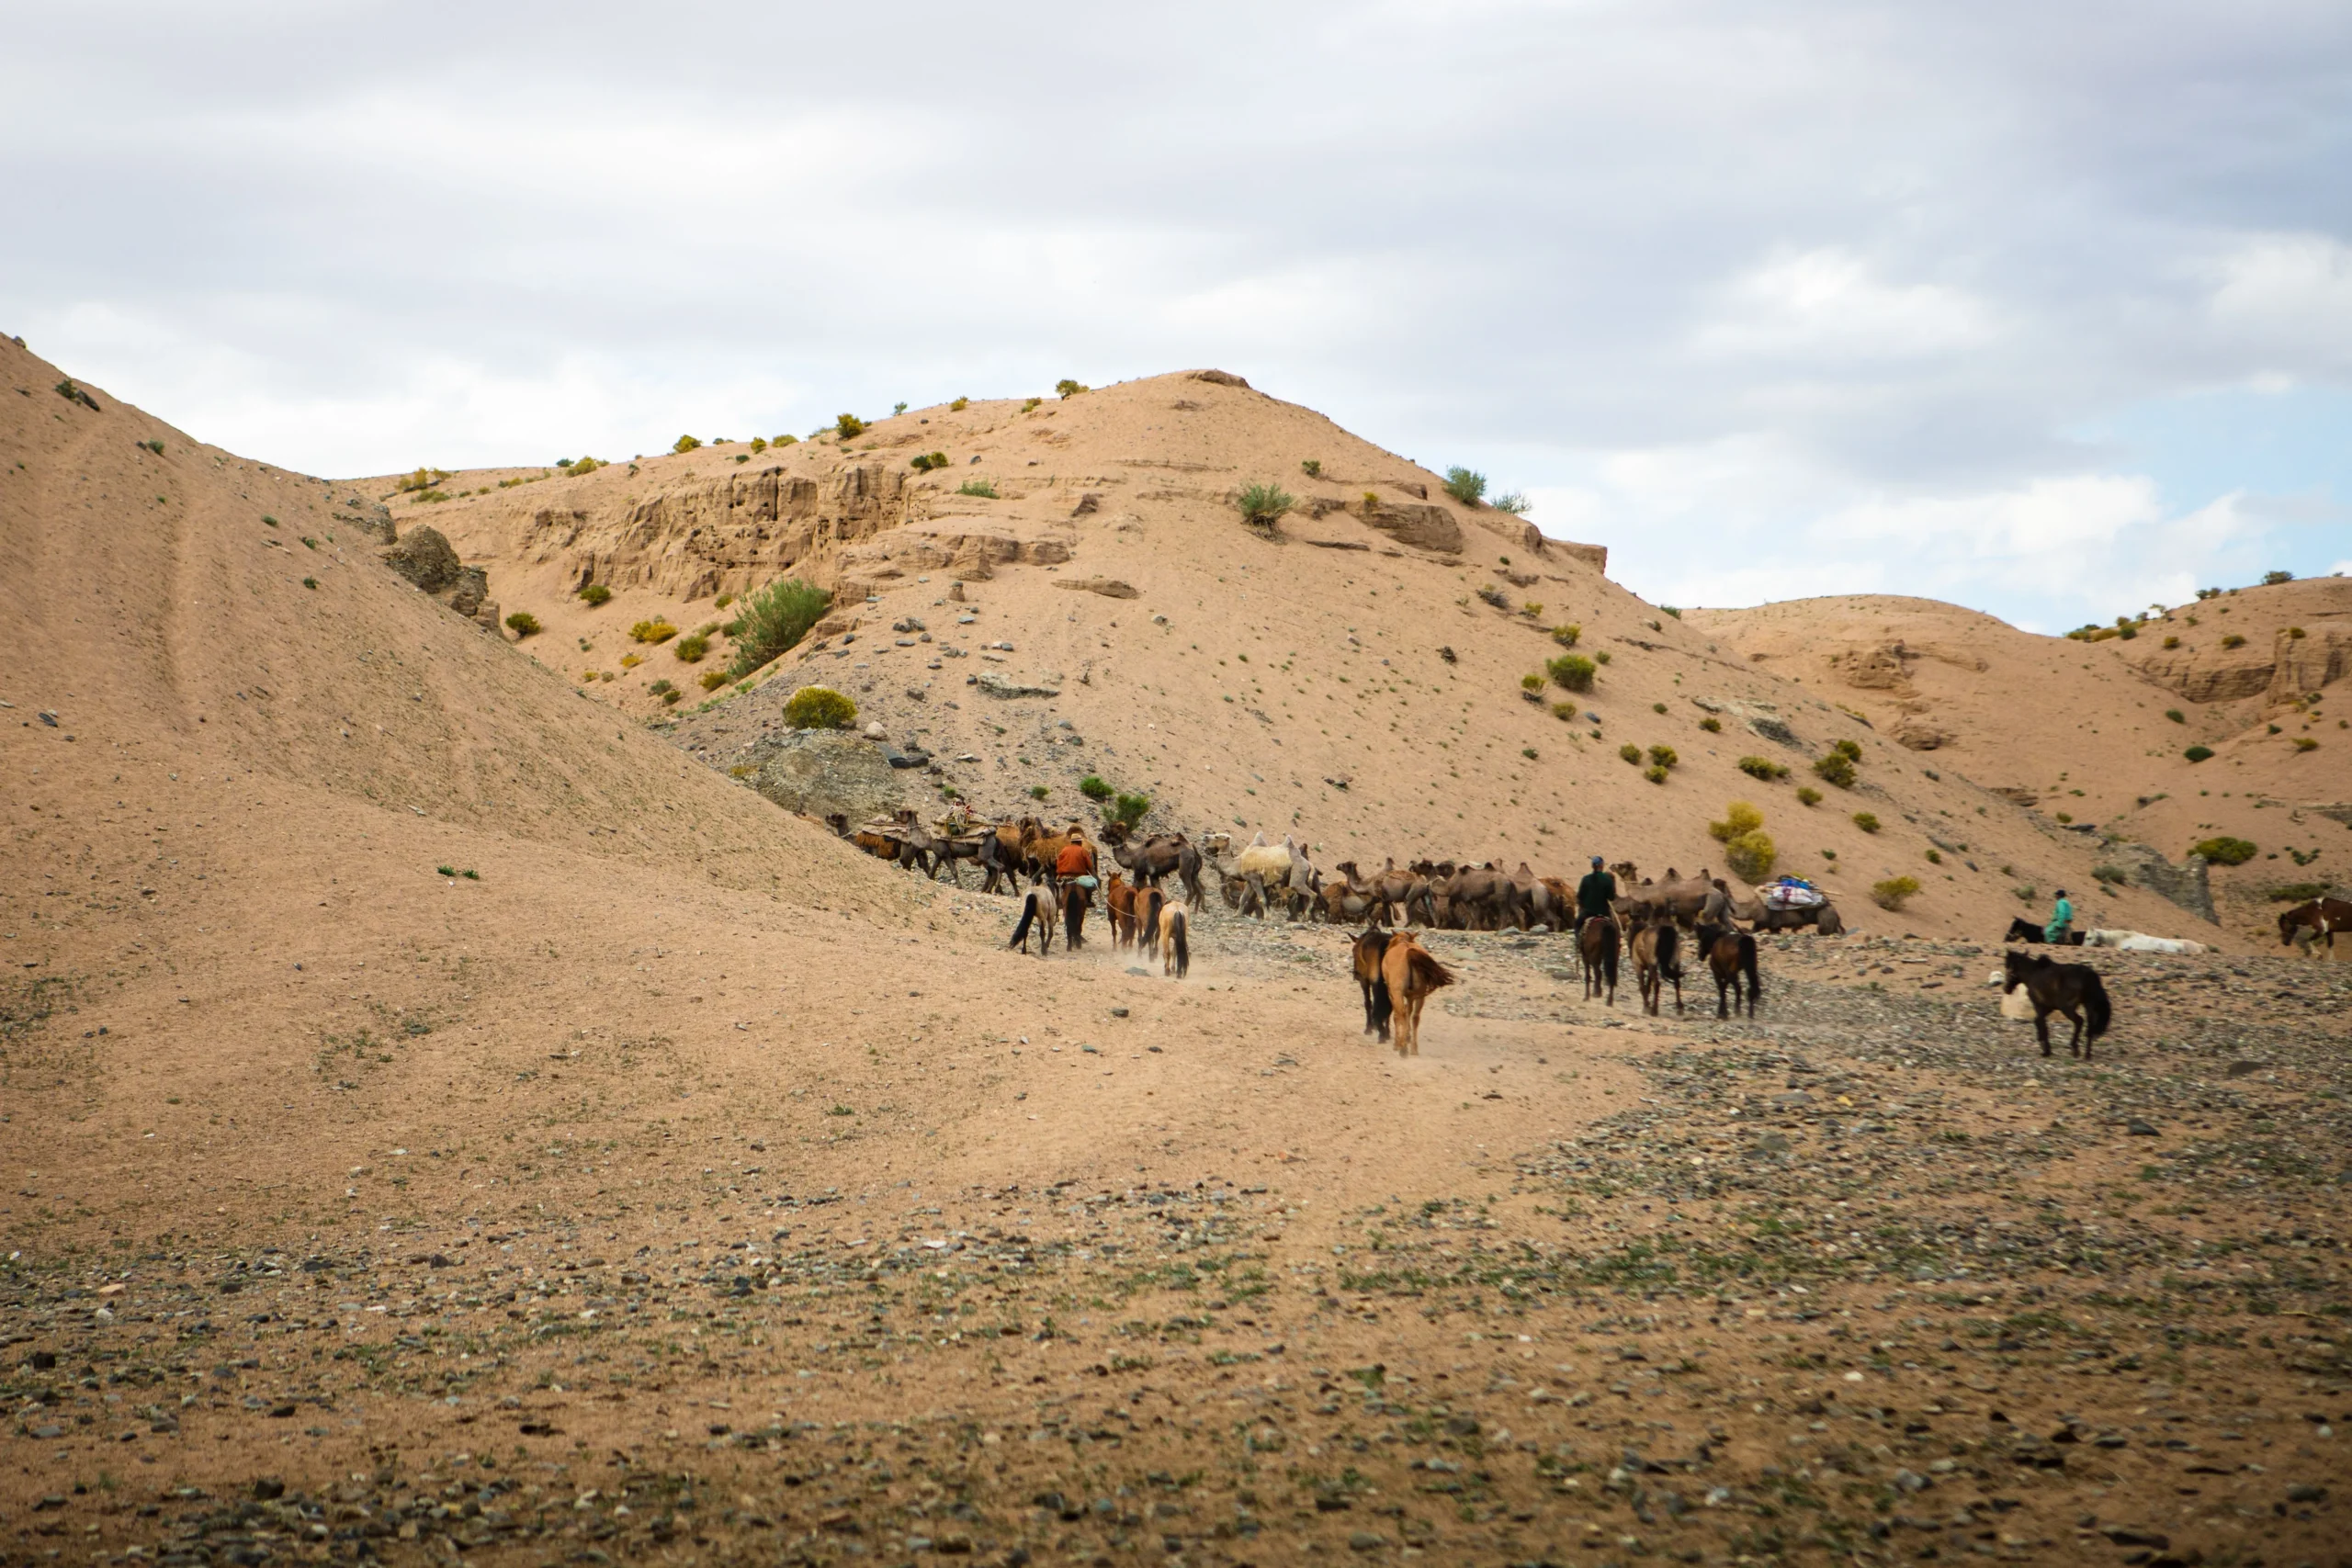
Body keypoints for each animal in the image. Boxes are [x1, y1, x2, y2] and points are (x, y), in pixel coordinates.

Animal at [1379, 931, 1454, 1057]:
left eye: (1391, 941)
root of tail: (1409, 951)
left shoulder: (1392, 993)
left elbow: (1397, 1015)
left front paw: (1398, 1042)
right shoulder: (1410, 996)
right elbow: (1409, 1012)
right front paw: (1407, 1036)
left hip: (1398, 993)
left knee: (1402, 1013)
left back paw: (1403, 1048)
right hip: (1420, 996)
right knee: (1415, 1017)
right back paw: (1413, 1048)